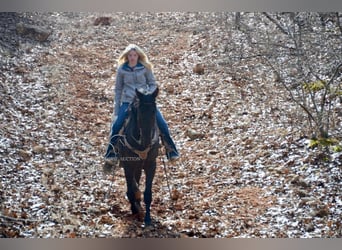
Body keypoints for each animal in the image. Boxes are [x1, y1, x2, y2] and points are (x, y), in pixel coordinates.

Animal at [115, 87, 160, 226]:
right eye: (139, 111)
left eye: (154, 110)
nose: (146, 140)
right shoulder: (128, 165)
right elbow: (131, 190)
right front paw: (135, 209)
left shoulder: (151, 165)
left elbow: (147, 194)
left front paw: (147, 219)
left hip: (139, 166)